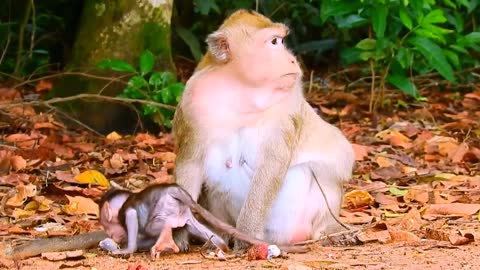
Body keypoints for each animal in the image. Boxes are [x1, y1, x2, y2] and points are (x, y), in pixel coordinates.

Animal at [100, 182, 308, 258]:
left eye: (108, 226)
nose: (113, 235)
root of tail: (176, 190)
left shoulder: (127, 213)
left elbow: (133, 218)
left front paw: (126, 249)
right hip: (183, 213)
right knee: (201, 231)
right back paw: (220, 246)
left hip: (166, 208)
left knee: (158, 226)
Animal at [172, 8, 352, 249]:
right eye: (274, 42)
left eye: (281, 40)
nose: (292, 59)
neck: (241, 89)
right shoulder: (193, 100)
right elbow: (190, 163)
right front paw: (176, 232)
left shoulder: (287, 105)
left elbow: (272, 164)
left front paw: (246, 236)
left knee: (320, 171)